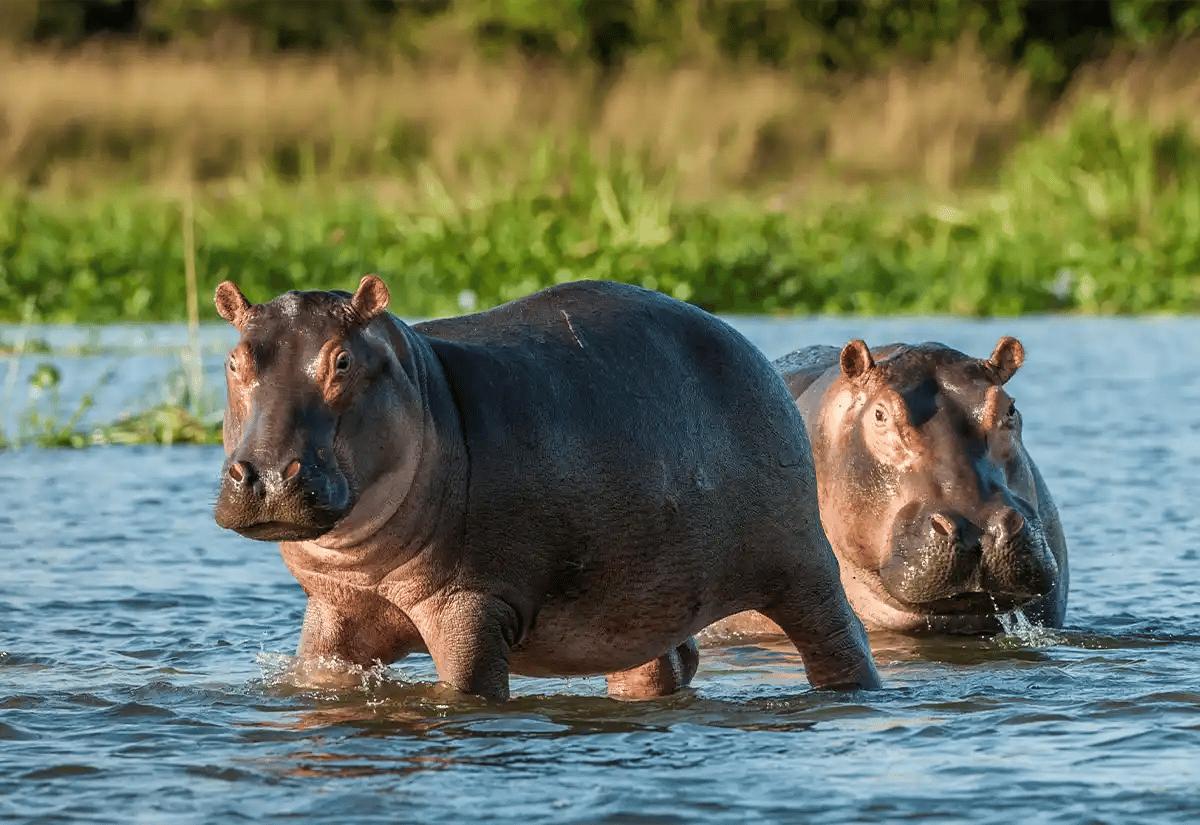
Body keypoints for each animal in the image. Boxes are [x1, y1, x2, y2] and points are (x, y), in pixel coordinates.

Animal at [211, 276, 880, 700]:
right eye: (234, 361)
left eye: (342, 360)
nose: (265, 476)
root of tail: (750, 348)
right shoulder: (335, 610)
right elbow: (320, 674)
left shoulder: (471, 604)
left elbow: (468, 691)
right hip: (640, 600)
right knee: (657, 667)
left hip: (802, 566)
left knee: (839, 639)